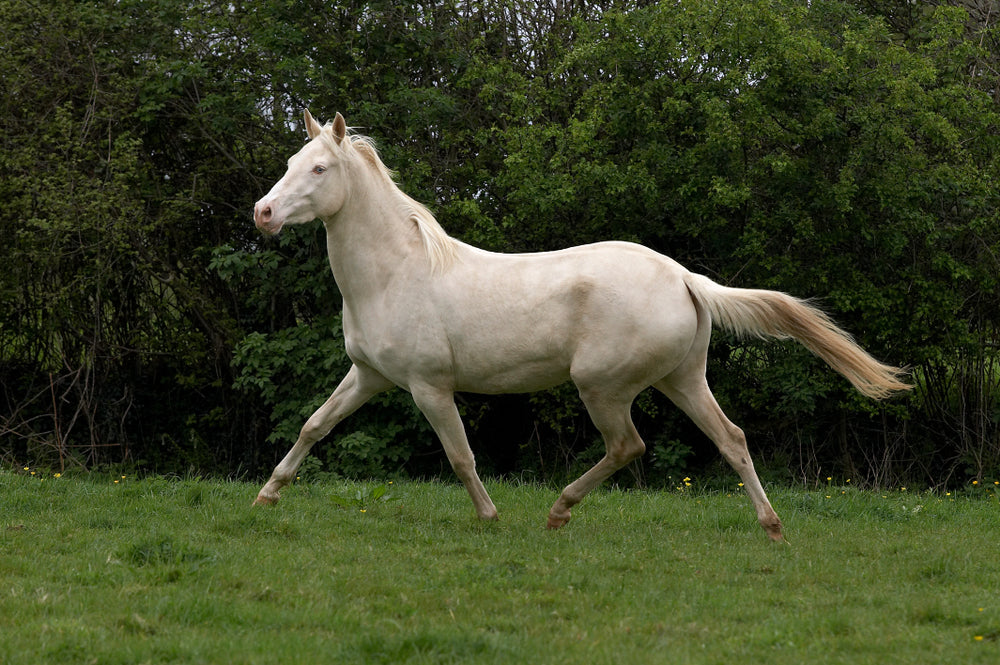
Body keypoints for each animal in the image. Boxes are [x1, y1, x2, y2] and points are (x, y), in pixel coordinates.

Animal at [251, 110, 911, 541]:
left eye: (318, 169)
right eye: (289, 162)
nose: (263, 213)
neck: (394, 274)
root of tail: (684, 277)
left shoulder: (428, 386)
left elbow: (460, 456)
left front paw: (490, 518)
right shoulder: (368, 375)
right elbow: (314, 426)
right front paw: (266, 496)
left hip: (602, 386)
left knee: (628, 445)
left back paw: (559, 511)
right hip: (682, 379)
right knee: (732, 438)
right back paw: (770, 527)